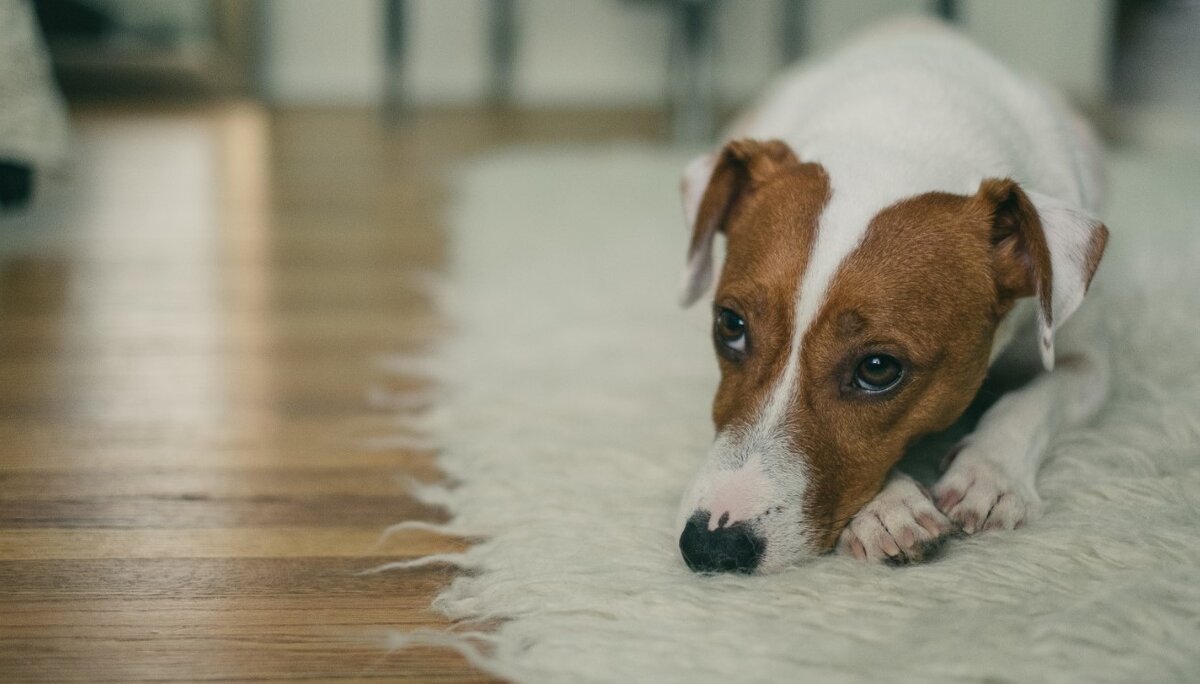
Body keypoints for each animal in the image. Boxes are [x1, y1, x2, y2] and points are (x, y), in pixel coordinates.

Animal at [676, 21, 1104, 573]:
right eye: (730, 325)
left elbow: (1032, 400)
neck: (907, 125)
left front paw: (989, 471)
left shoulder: (1089, 363)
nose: (710, 547)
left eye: (878, 368)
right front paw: (890, 505)